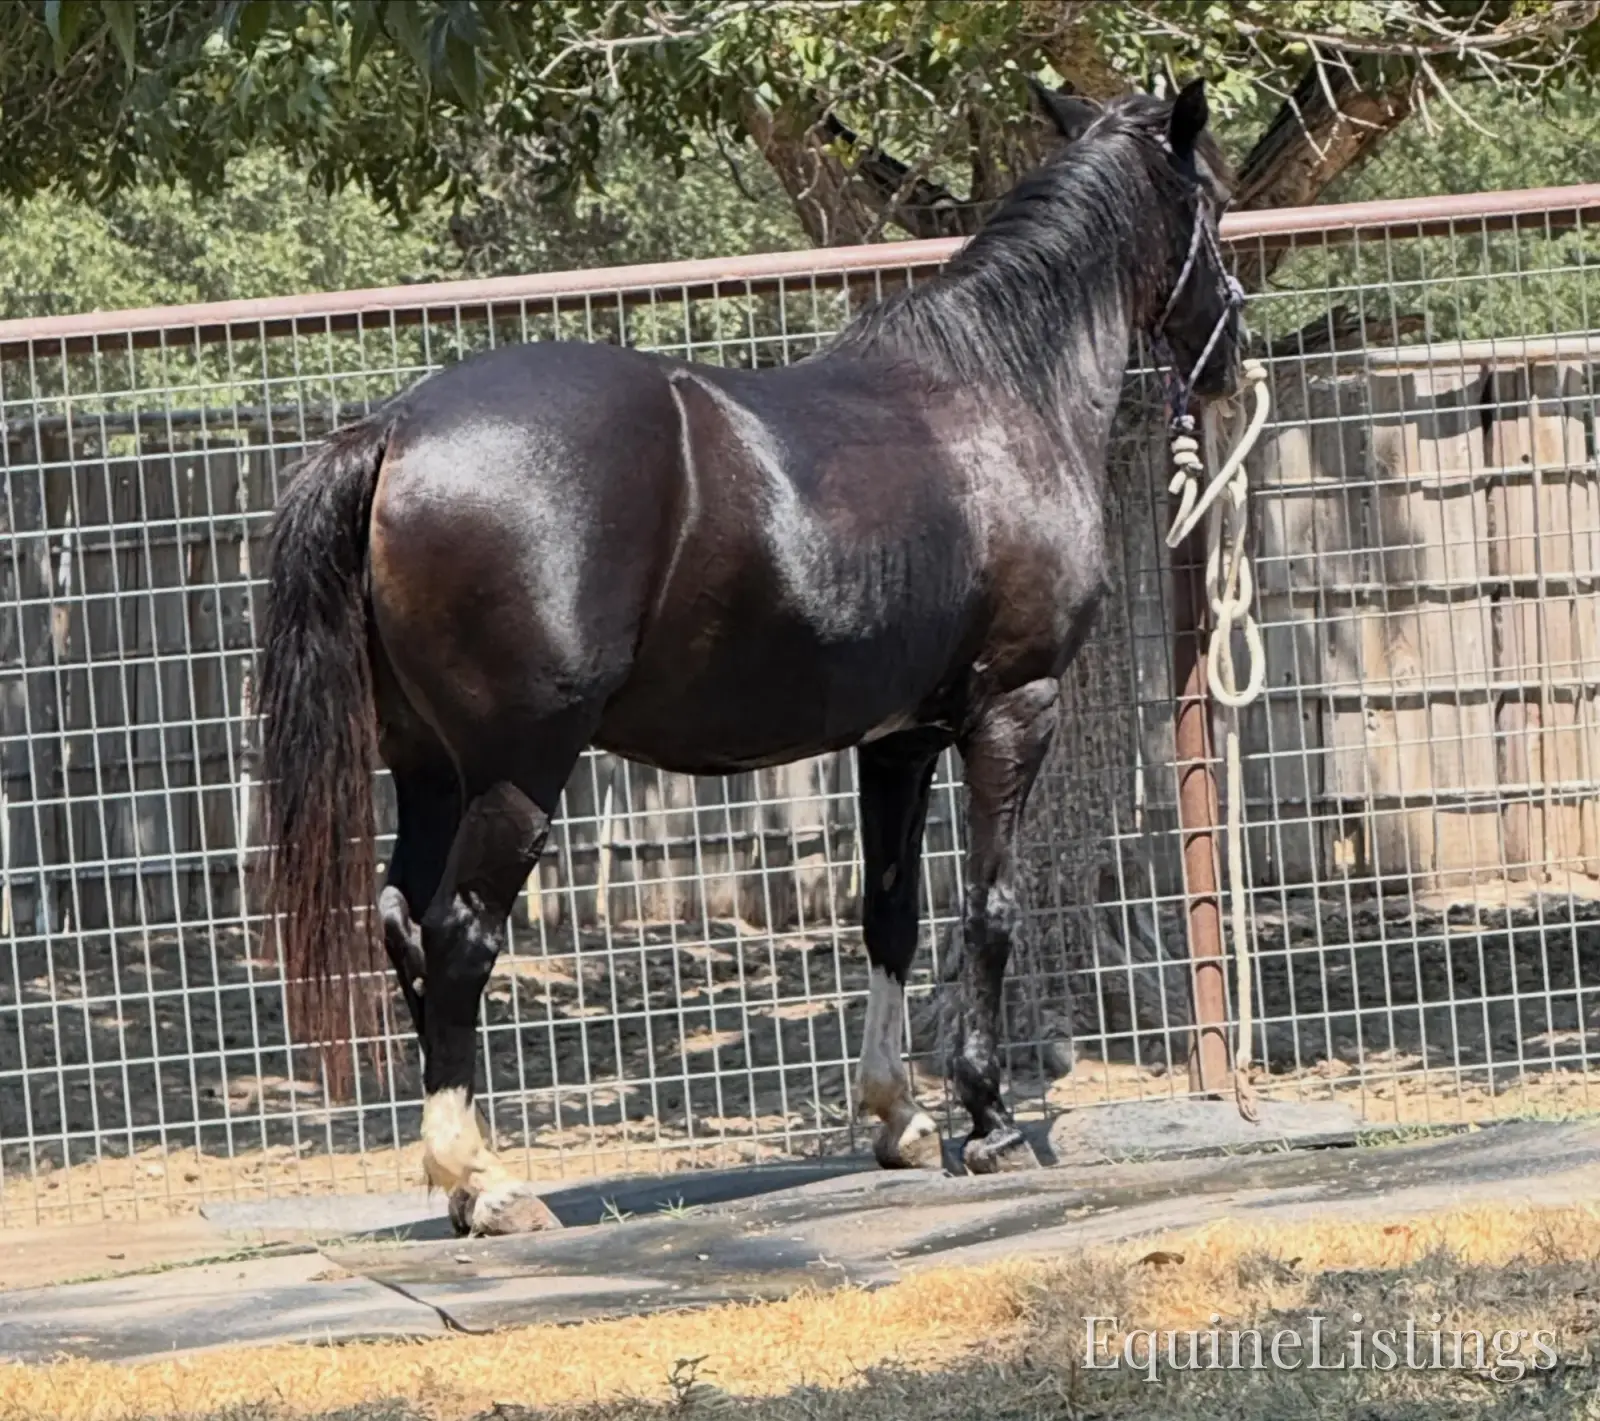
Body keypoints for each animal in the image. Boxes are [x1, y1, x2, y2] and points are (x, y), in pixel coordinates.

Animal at [259, 78, 1242, 1236]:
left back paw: (460, 1183)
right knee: (460, 937)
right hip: (513, 772)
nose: (1230, 353)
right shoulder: (1014, 705)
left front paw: (900, 1116)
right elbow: (990, 910)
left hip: (429, 770)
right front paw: (988, 1118)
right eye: (1213, 201)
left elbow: (890, 912)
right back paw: (489, 1182)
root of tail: (396, 431)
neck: (998, 396)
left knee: (404, 925)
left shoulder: (899, 739)